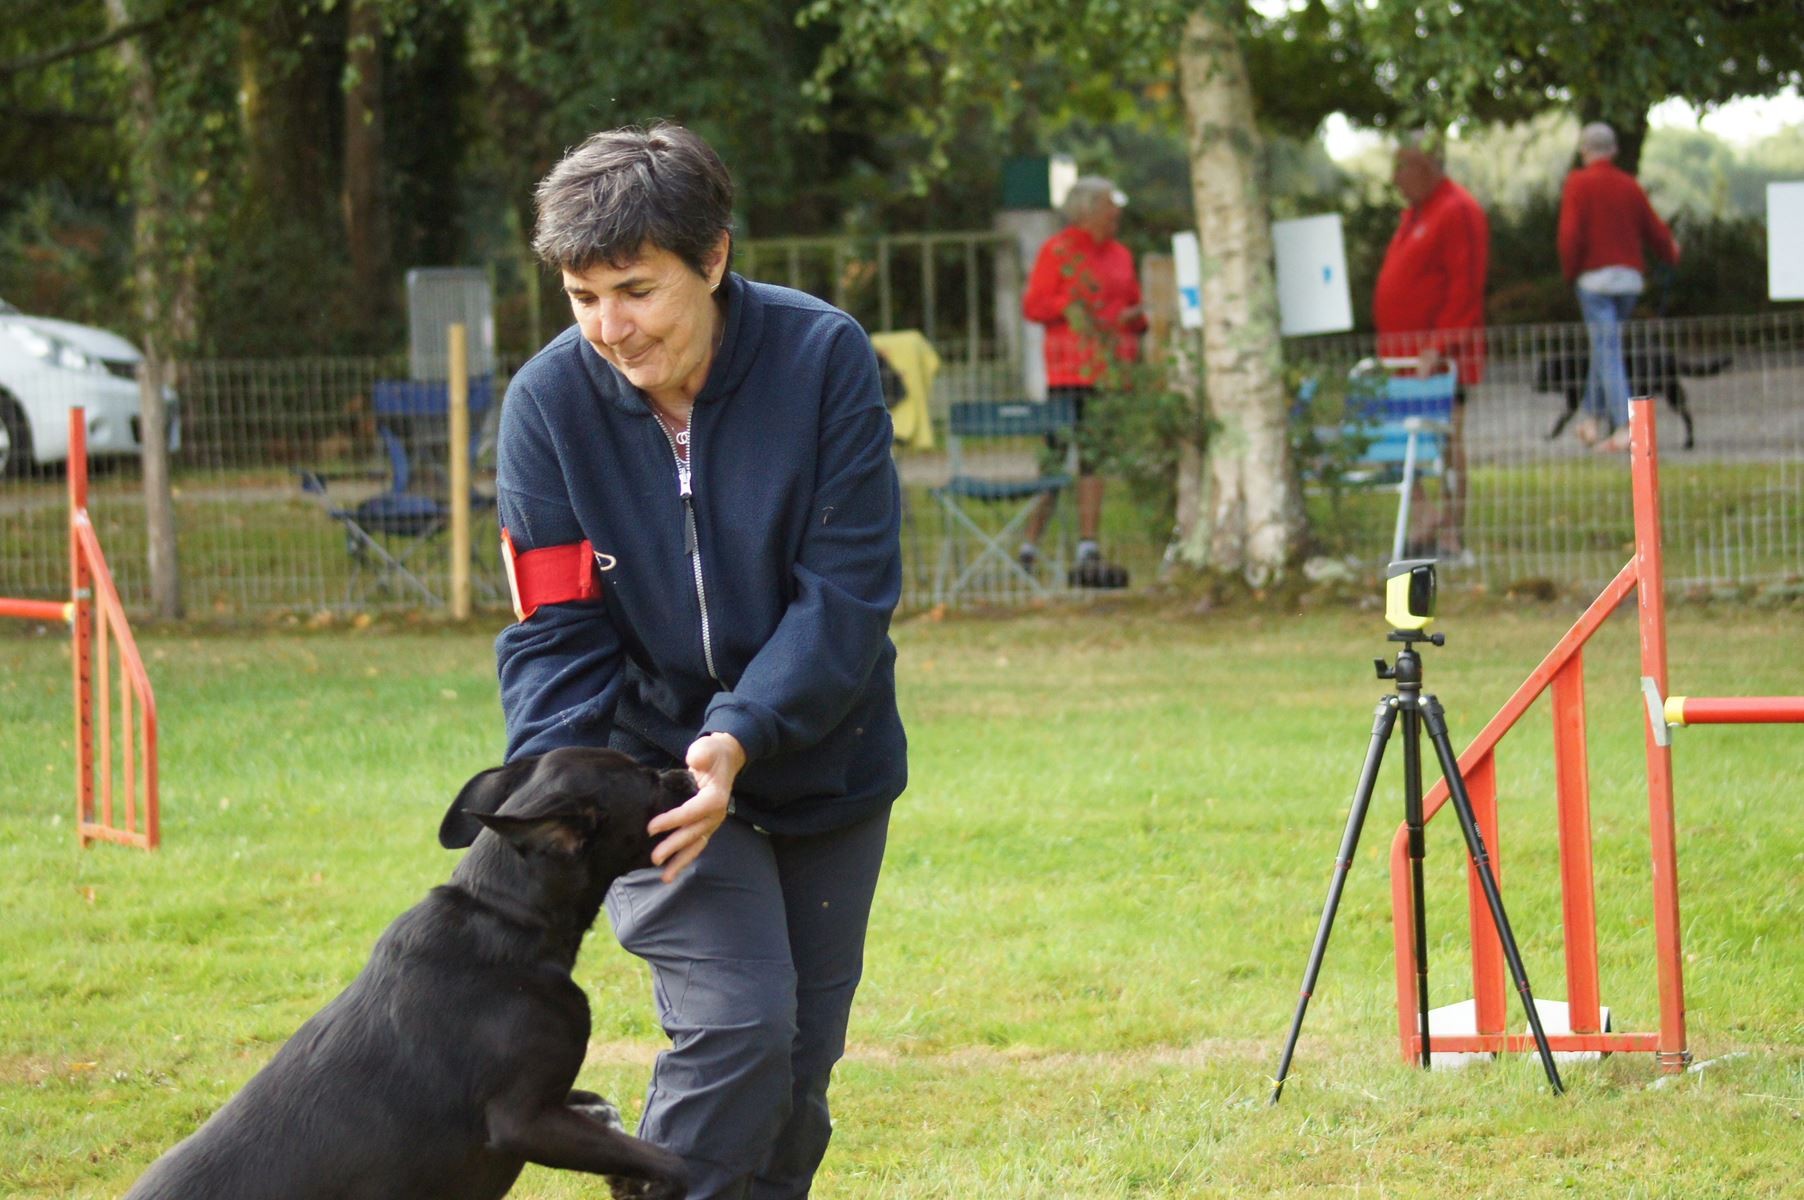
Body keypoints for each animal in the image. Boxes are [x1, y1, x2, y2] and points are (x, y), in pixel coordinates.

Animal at [121, 750, 696, 1198]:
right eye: (646, 778)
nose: (688, 771)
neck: (502, 913)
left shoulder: (556, 1103)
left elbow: (607, 1115)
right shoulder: (524, 1120)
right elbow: (673, 1162)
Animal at [1529, 346, 1724, 449]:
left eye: (1543, 372)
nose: (1533, 385)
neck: (1574, 367)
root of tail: (1669, 355)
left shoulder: (1577, 401)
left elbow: (1561, 418)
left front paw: (1551, 434)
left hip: (1665, 392)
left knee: (1687, 415)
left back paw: (1688, 442)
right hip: (1670, 389)